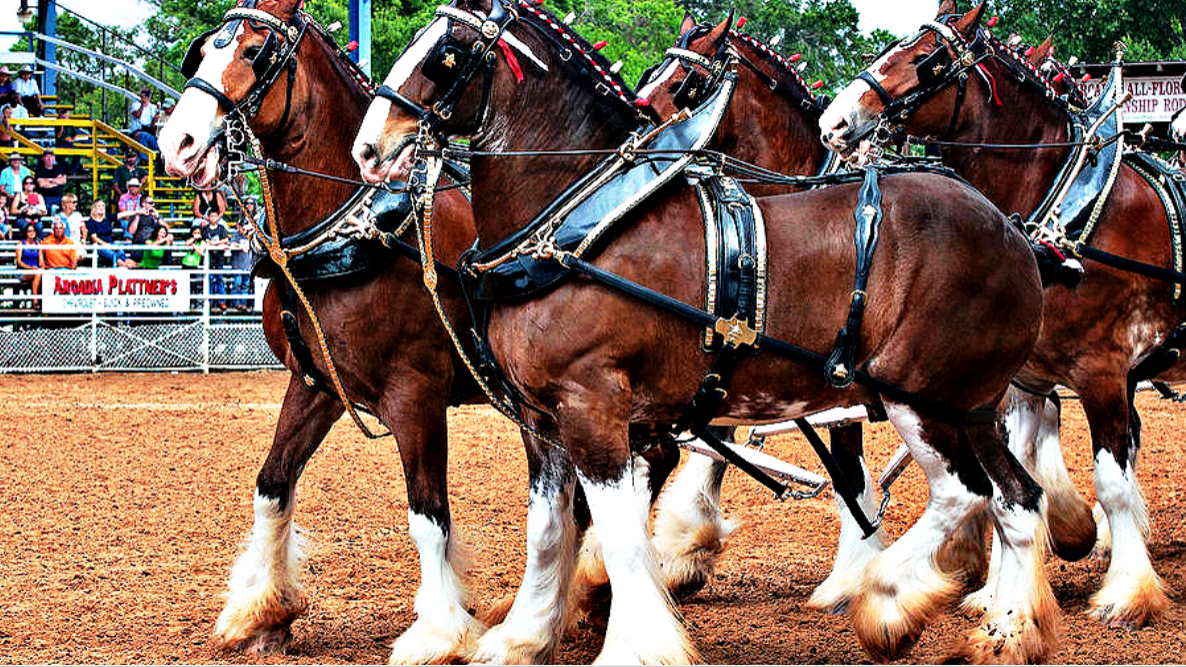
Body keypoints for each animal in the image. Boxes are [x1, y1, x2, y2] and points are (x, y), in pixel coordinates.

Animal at [353, 0, 1057, 655]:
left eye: (445, 53)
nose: (368, 148)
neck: (576, 225)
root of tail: (1010, 230)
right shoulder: (542, 418)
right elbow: (550, 530)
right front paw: (520, 637)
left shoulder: (593, 406)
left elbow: (619, 534)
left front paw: (636, 644)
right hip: (968, 405)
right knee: (1016, 501)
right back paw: (1007, 631)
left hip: (917, 397)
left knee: (963, 494)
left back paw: (887, 598)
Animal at [825, 0, 1186, 626]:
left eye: (925, 59)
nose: (835, 122)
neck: (1067, 219)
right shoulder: (1021, 382)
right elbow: (1010, 485)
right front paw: (1000, 594)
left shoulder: (1104, 371)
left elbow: (1111, 482)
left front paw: (1127, 592)